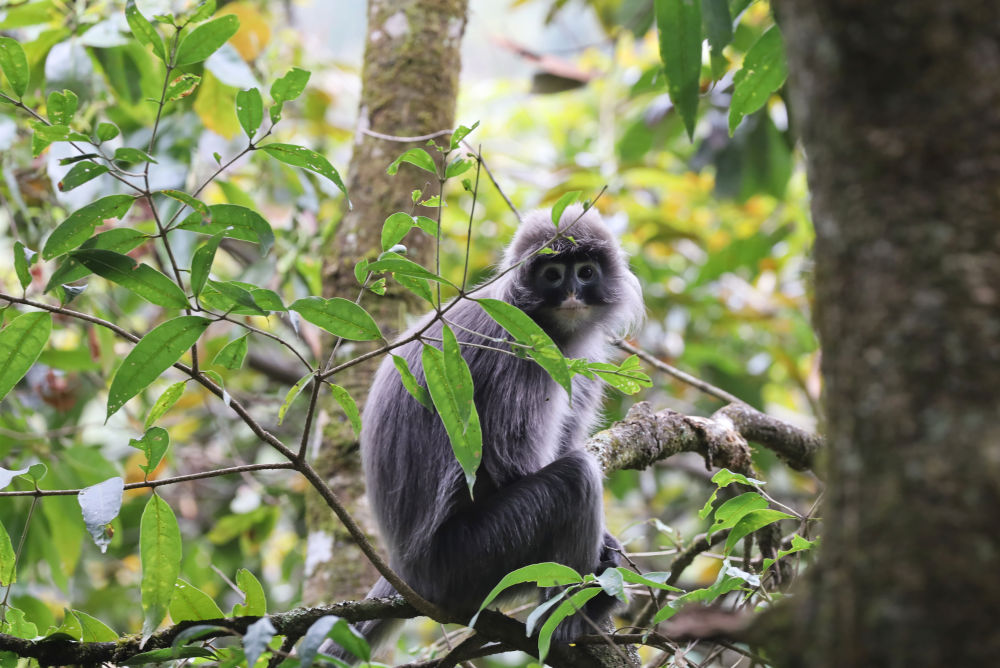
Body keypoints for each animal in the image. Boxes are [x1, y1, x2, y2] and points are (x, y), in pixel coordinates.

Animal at [324, 205, 644, 664]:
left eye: (585, 273)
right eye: (552, 275)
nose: (570, 294)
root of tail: (407, 571)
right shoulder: (518, 349)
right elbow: (509, 464)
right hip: (471, 561)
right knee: (576, 479)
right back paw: (567, 618)